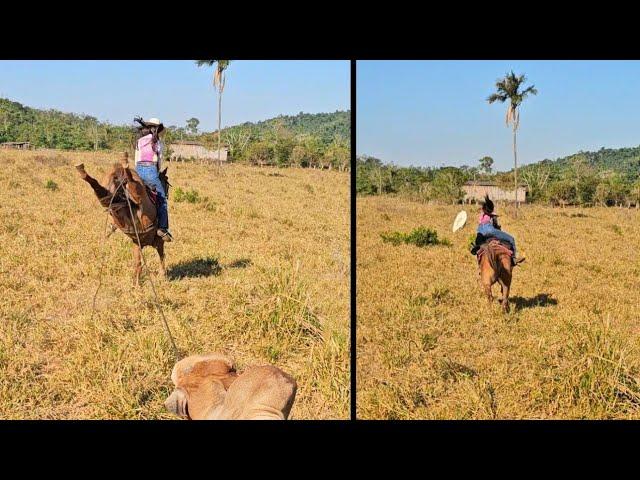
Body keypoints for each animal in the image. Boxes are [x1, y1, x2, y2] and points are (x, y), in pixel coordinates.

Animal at [74, 152, 169, 284]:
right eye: (167, 182)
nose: (167, 194)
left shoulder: (137, 243)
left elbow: (138, 264)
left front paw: (136, 283)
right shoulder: (159, 242)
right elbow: (161, 258)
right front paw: (163, 276)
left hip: (109, 199)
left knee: (100, 190)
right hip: (138, 194)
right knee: (135, 189)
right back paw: (125, 165)